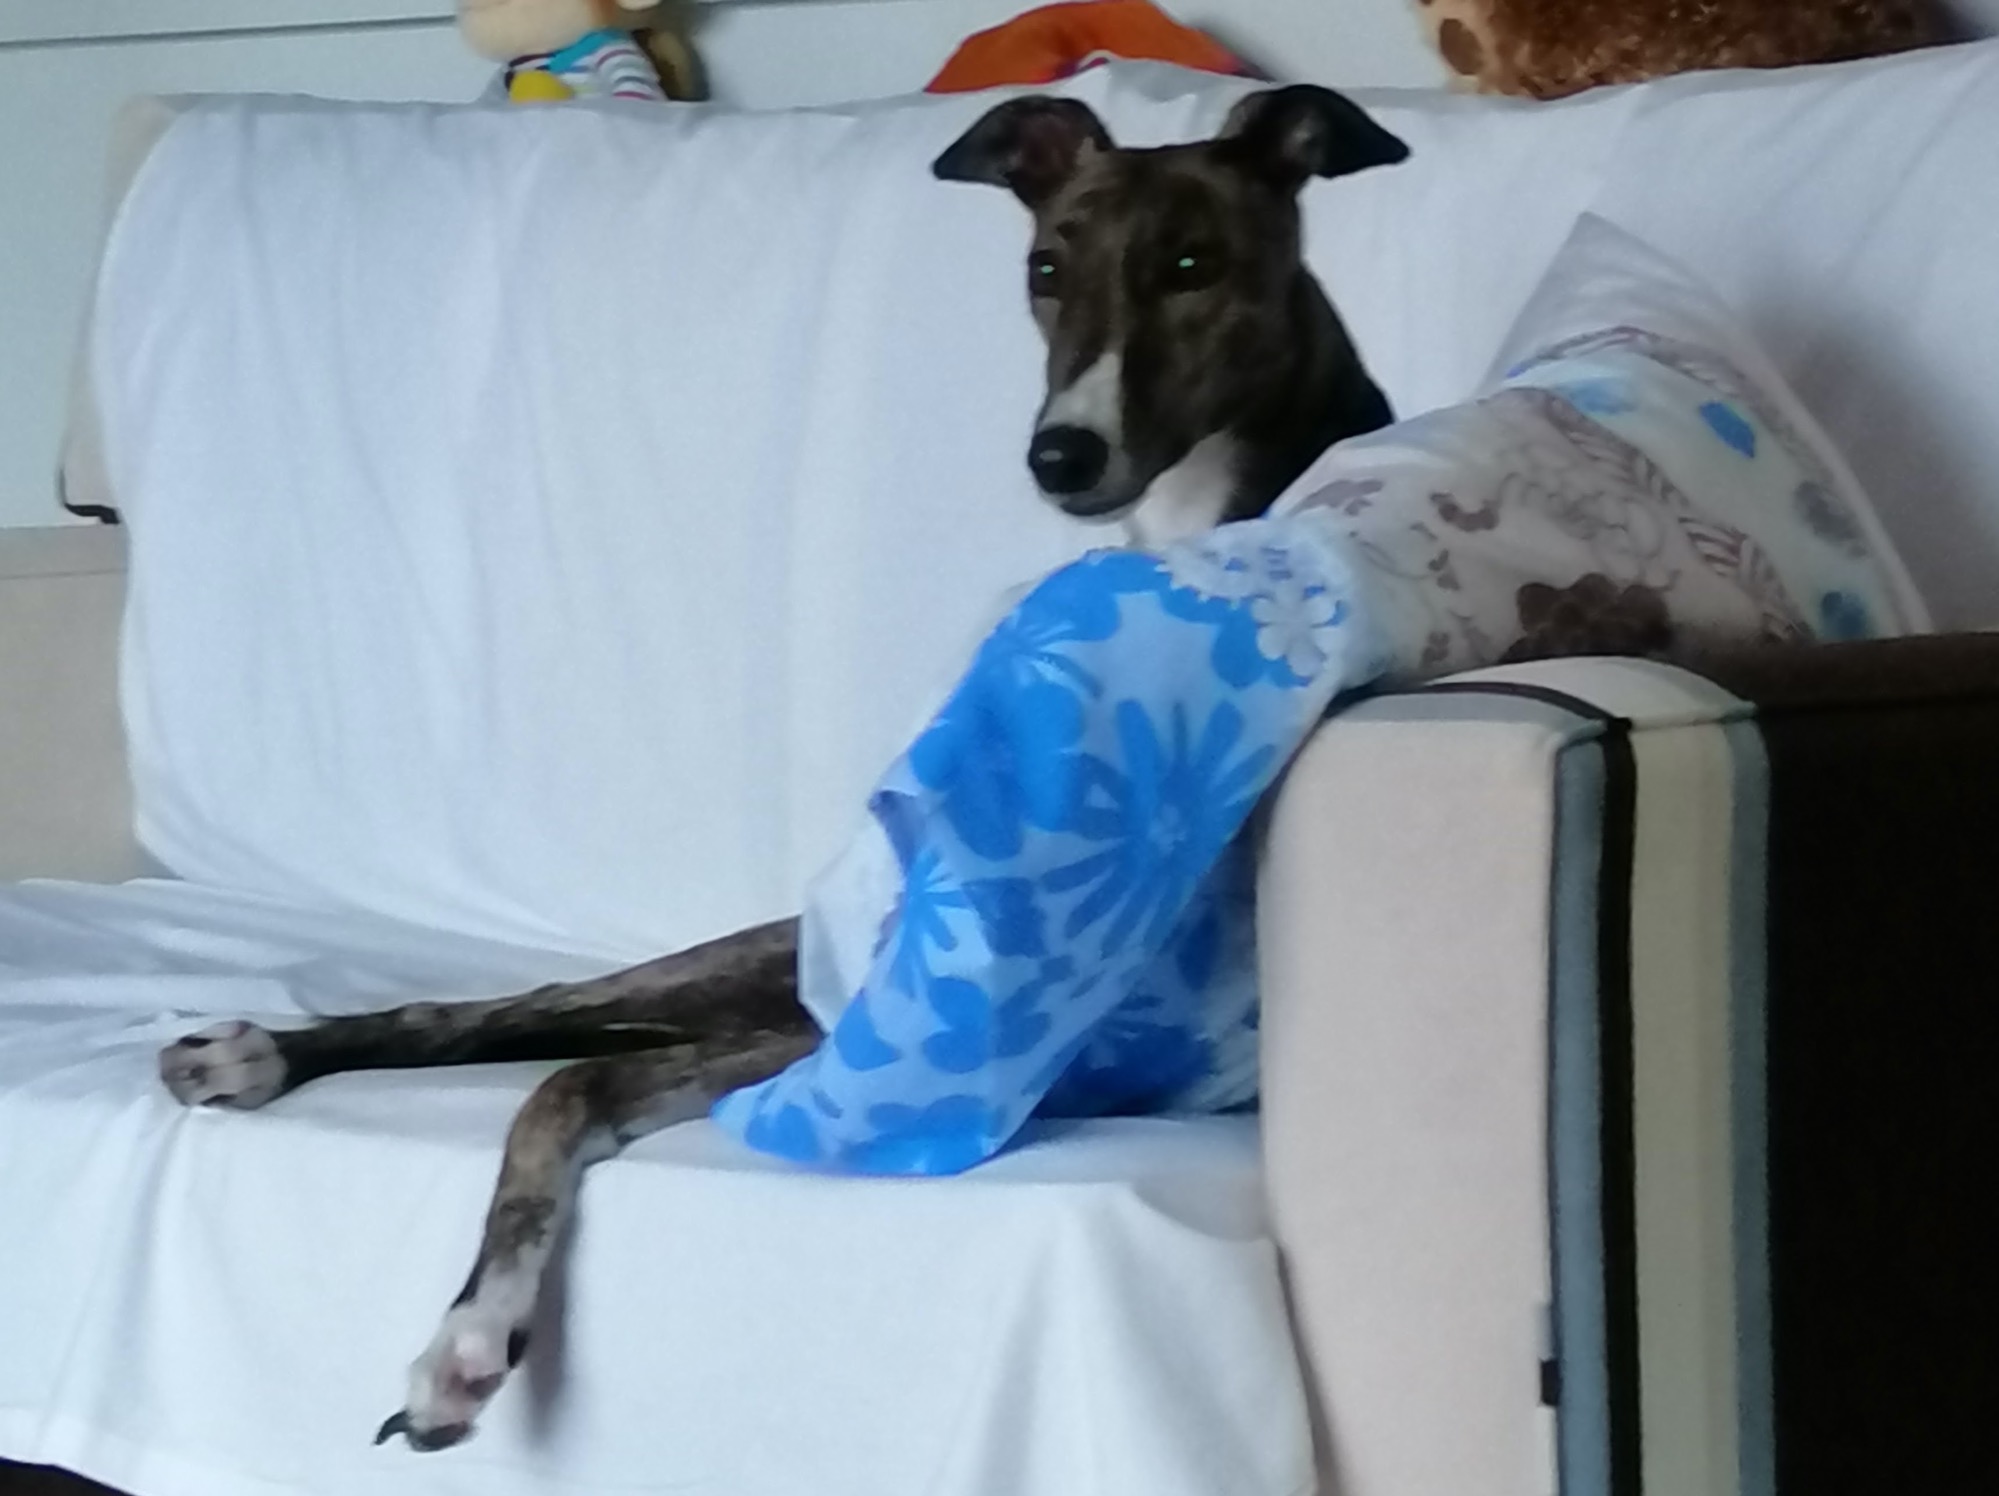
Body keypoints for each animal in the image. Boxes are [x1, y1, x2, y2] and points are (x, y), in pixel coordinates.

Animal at [153, 85, 1409, 1452]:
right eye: (1045, 268)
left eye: (1192, 266)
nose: (1060, 456)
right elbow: (562, 1079)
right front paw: (471, 1321)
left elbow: (574, 1082)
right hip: (733, 968)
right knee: (498, 1016)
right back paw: (262, 1054)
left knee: (561, 1044)